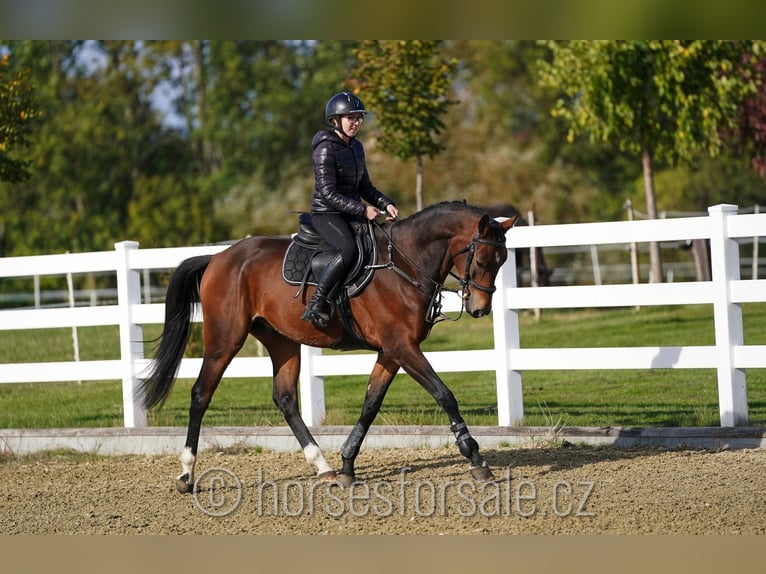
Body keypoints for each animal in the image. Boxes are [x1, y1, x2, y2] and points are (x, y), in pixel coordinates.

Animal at [140, 200, 520, 492]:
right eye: (483, 260)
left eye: (502, 261)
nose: (480, 309)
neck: (403, 264)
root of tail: (219, 258)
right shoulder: (402, 347)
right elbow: (444, 395)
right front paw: (475, 458)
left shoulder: (390, 352)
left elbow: (370, 405)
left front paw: (348, 463)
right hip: (225, 340)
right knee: (201, 394)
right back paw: (186, 474)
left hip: (282, 342)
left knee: (286, 400)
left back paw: (324, 467)